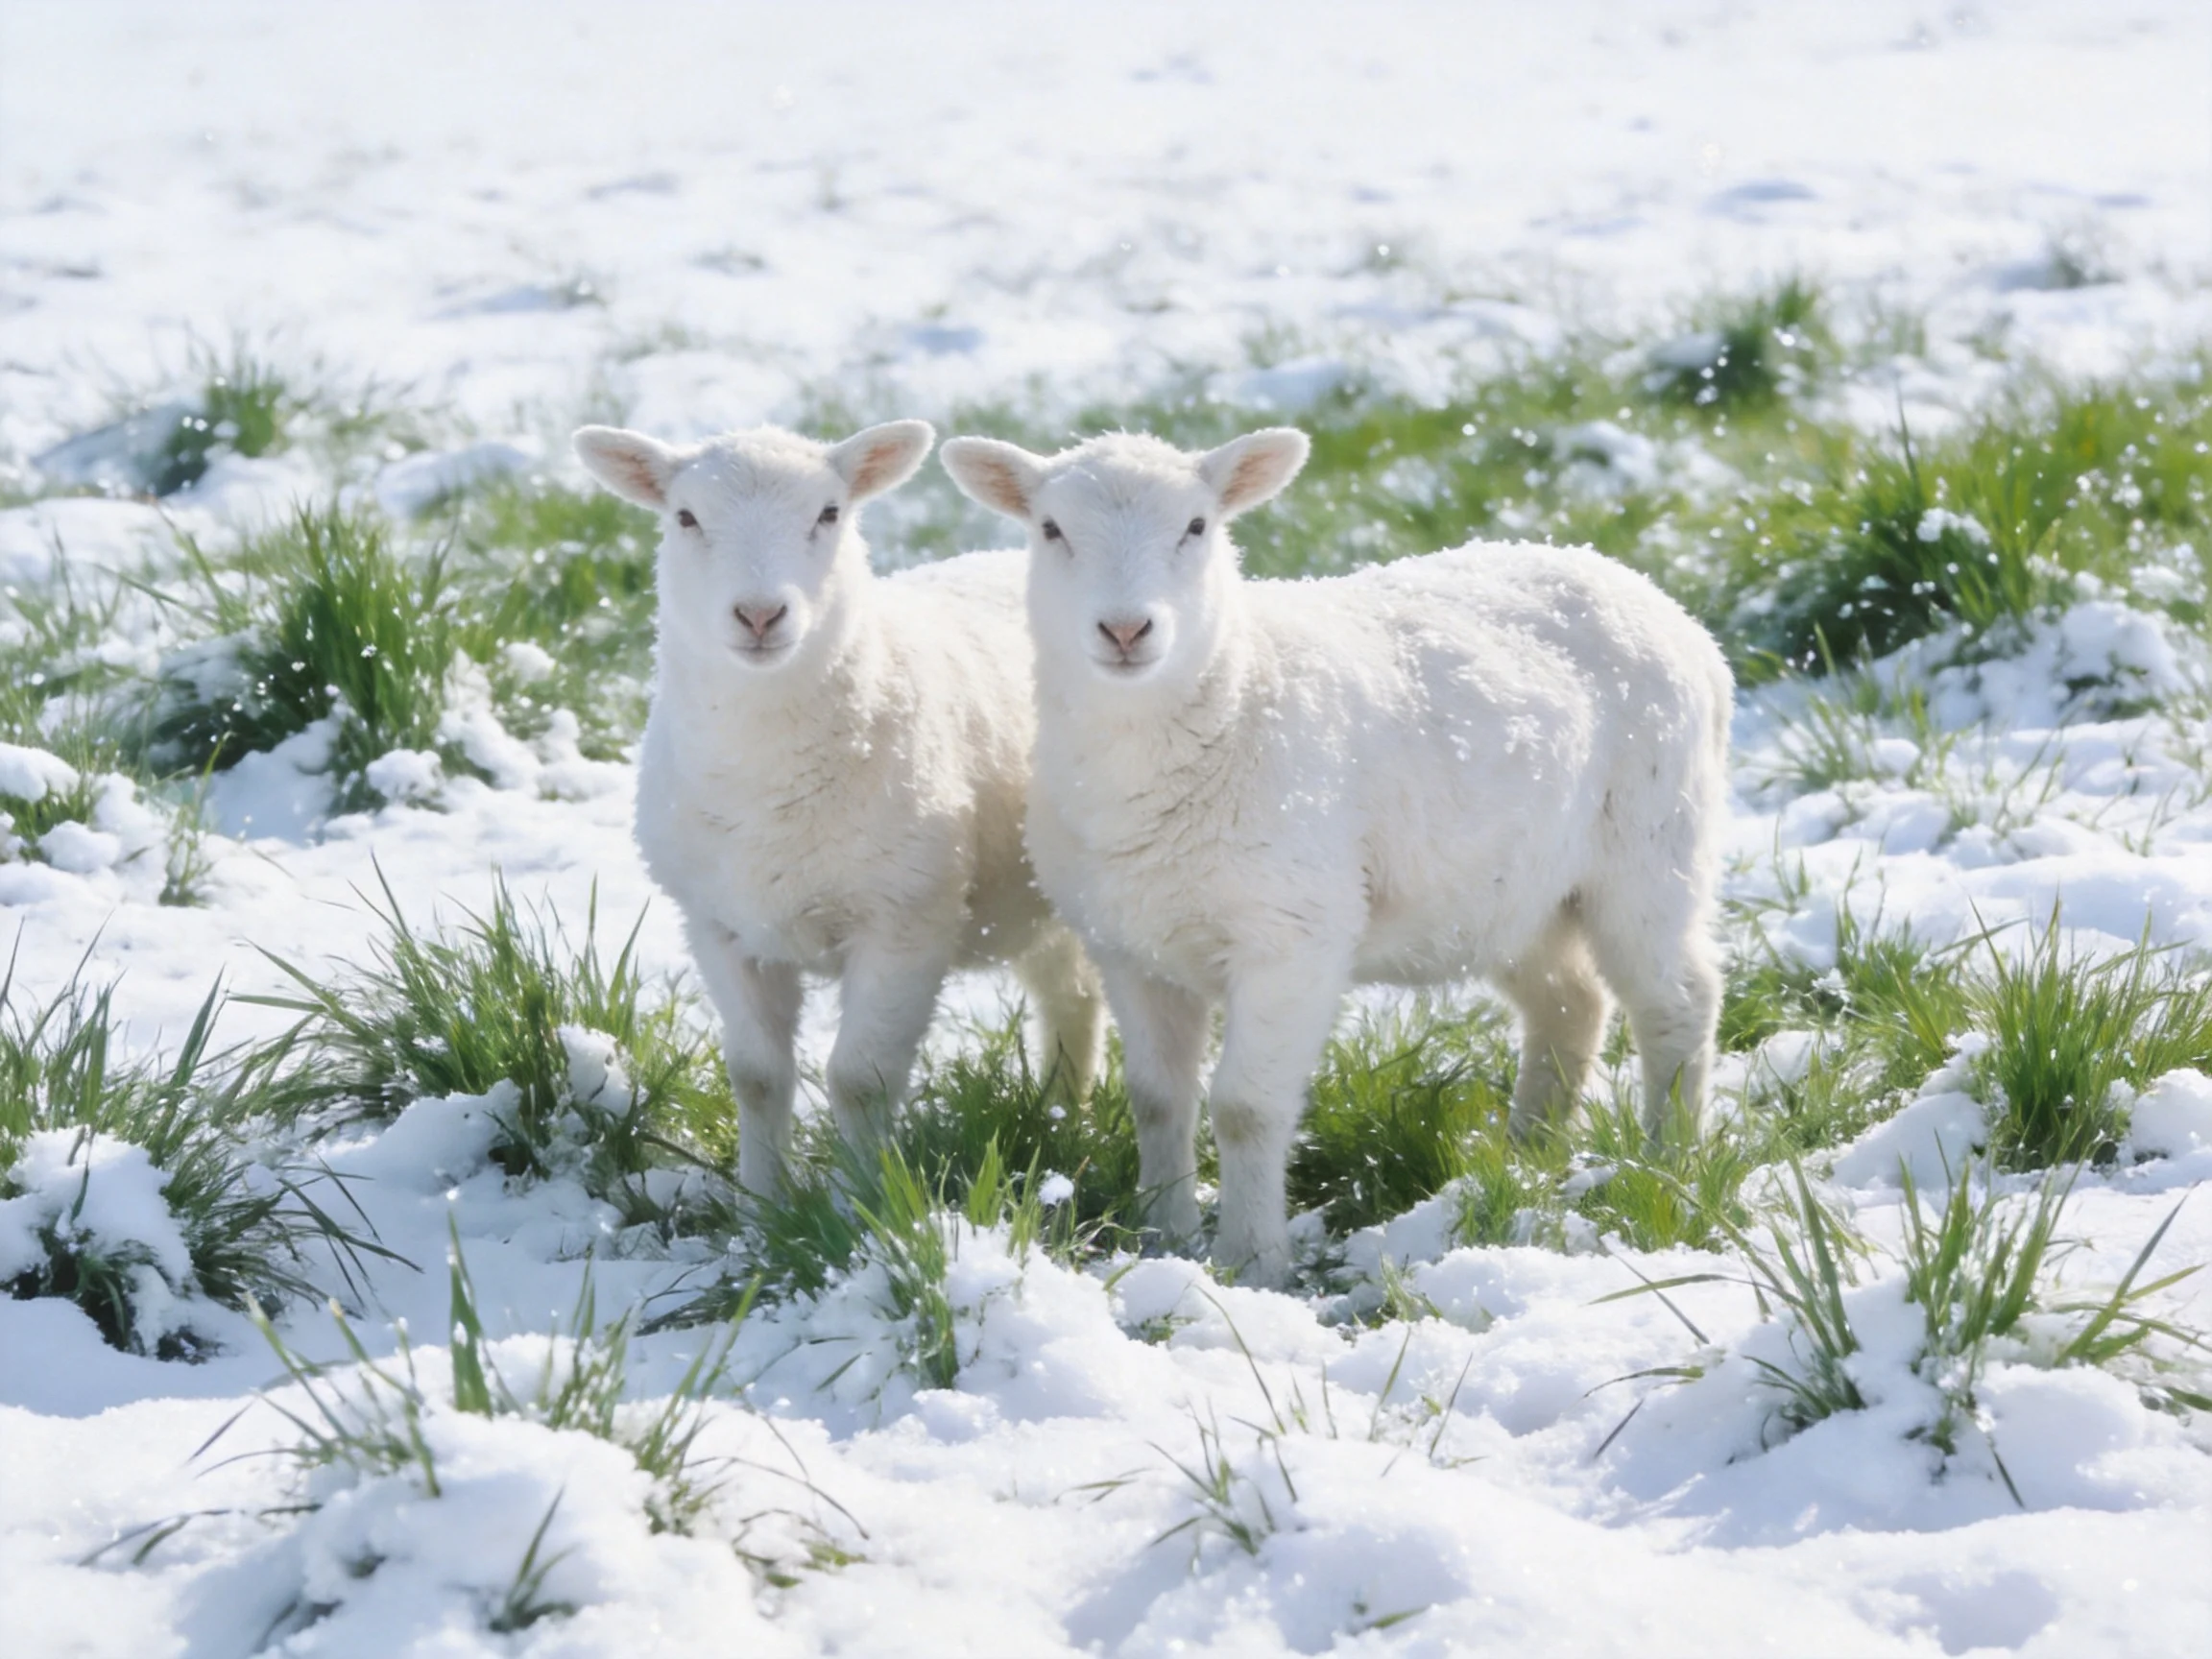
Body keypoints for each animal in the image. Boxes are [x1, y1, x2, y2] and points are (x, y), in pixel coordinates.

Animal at [574, 420, 1105, 1196]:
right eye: (685, 517)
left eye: (829, 513)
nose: (761, 614)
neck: (771, 781)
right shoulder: (718, 925)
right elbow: (757, 1075)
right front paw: (761, 1203)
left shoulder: (907, 920)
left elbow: (860, 1079)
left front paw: (864, 1202)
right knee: (1070, 993)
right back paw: (1065, 1111)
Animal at [939, 427, 1733, 1286]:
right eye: (1051, 529)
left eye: (1197, 526)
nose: (1125, 631)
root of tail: (1658, 600)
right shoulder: (1131, 946)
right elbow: (1157, 1098)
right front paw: (1163, 1240)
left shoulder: (1292, 937)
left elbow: (1245, 1109)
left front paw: (1251, 1263)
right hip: (1515, 890)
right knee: (1570, 1001)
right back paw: (1530, 1153)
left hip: (1652, 848)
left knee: (1677, 1001)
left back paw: (1669, 1162)